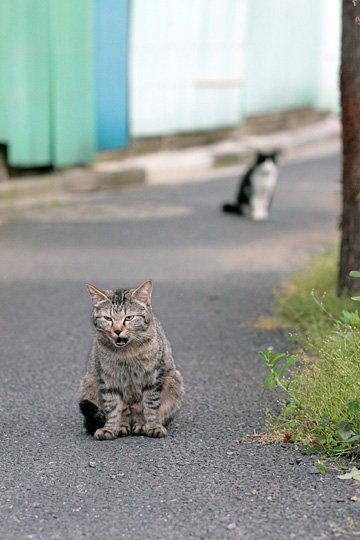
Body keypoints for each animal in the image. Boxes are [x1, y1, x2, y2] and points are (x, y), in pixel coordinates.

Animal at [80, 278, 184, 438]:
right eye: (108, 318)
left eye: (129, 318)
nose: (117, 330)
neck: (127, 353)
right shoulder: (109, 378)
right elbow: (114, 407)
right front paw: (110, 428)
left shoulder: (153, 377)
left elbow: (150, 405)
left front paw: (153, 426)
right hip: (89, 381)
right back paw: (122, 426)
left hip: (174, 379)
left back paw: (141, 425)